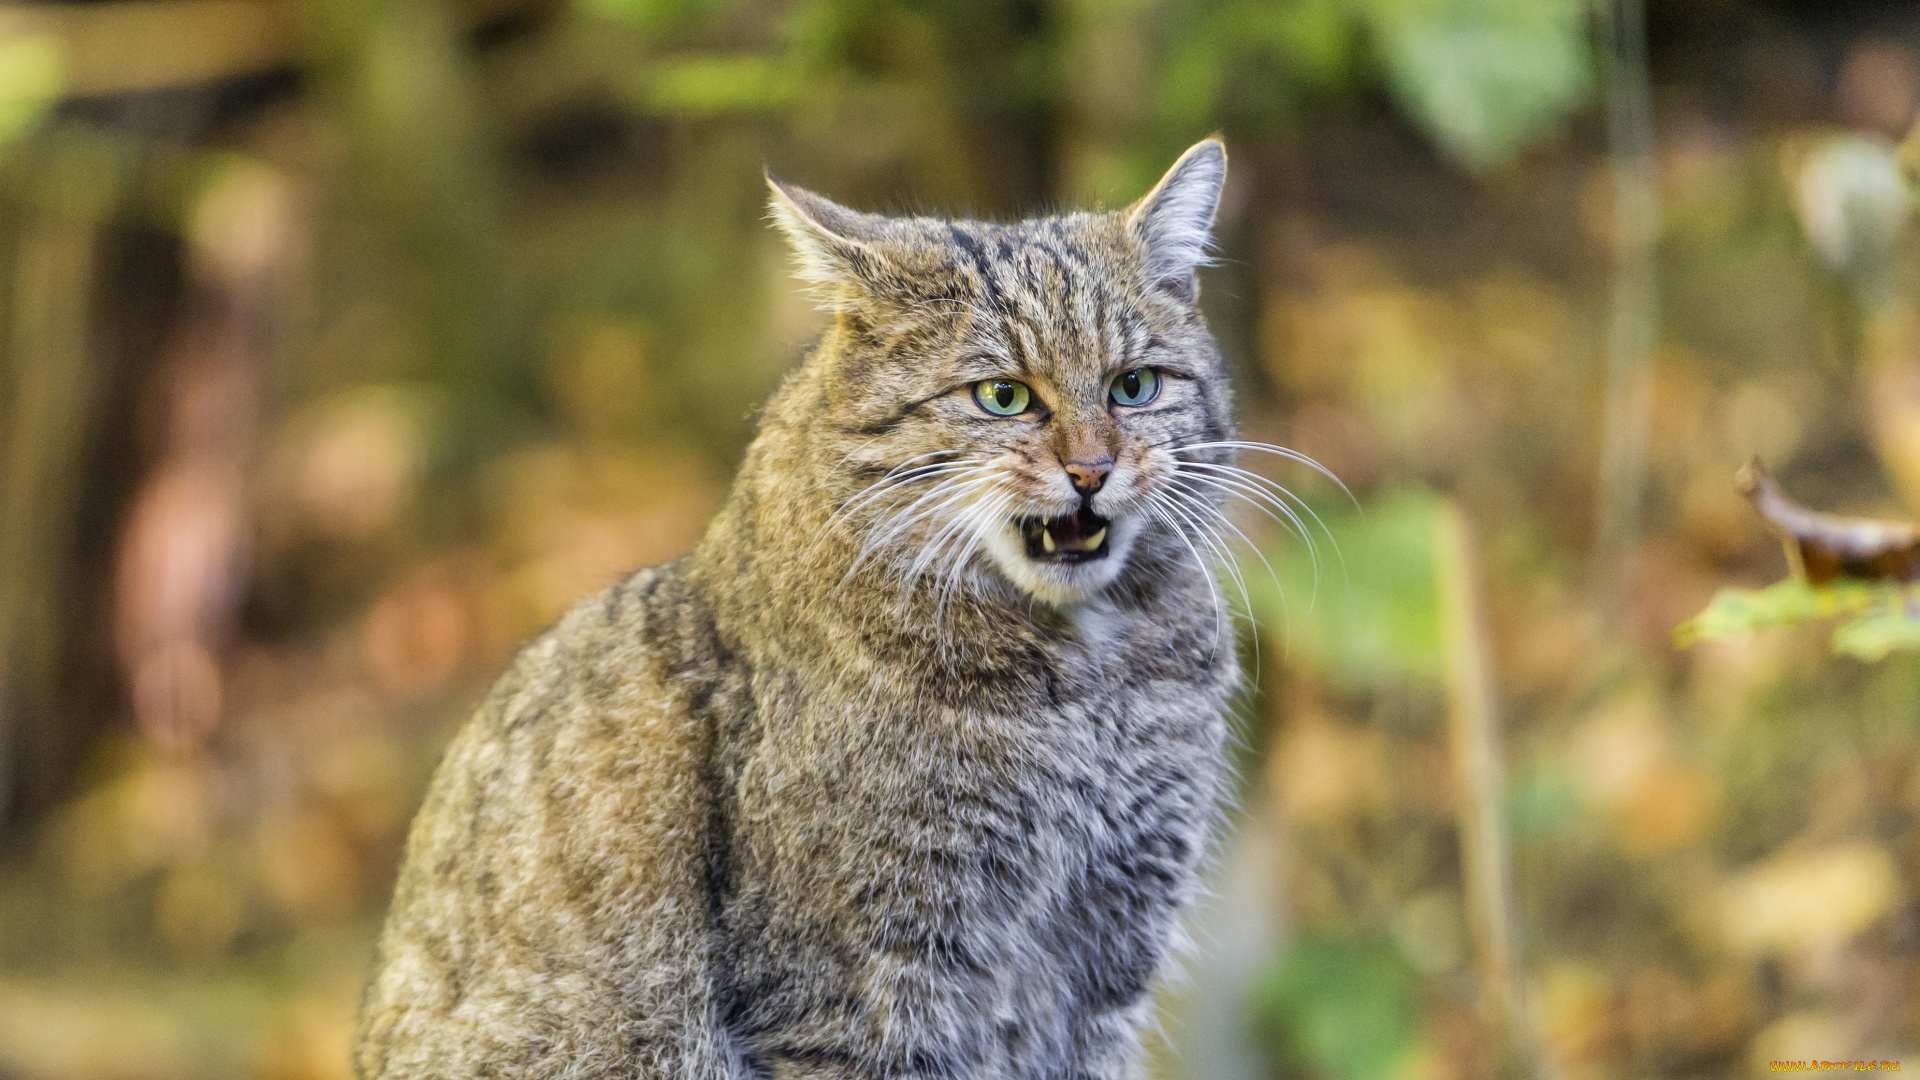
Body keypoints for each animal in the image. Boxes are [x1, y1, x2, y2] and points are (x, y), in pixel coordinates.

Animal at [357, 136, 1274, 1076]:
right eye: (1004, 395)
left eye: (1134, 387)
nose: (1093, 469)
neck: (1088, 680)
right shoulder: (859, 986)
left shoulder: (1110, 950)